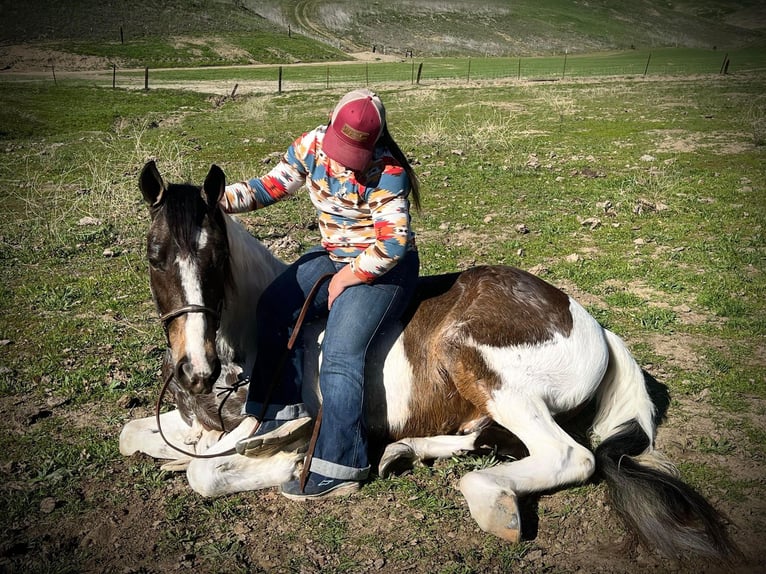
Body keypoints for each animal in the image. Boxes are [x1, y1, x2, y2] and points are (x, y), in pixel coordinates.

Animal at [118, 161, 736, 564]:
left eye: (216, 257)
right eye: (154, 256)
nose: (197, 371)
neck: (252, 342)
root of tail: (592, 324)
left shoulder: (297, 421)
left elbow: (208, 470)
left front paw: (289, 468)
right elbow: (137, 436)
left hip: (477, 364)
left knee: (567, 456)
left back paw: (488, 499)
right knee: (484, 439)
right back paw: (401, 451)